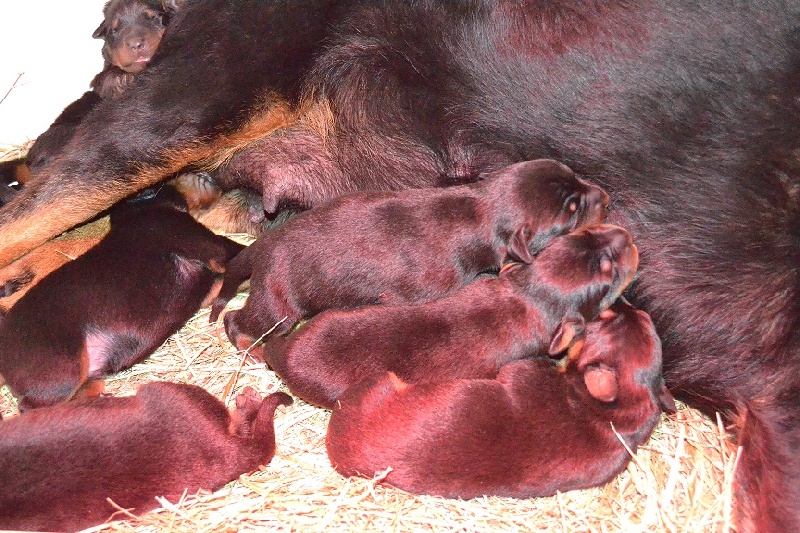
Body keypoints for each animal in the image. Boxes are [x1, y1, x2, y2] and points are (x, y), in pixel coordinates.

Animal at [0, 185, 242, 410]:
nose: (209, 178)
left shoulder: (206, 288)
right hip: (63, 371)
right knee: (30, 407)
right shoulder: (199, 240)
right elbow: (236, 251)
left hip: (90, 376)